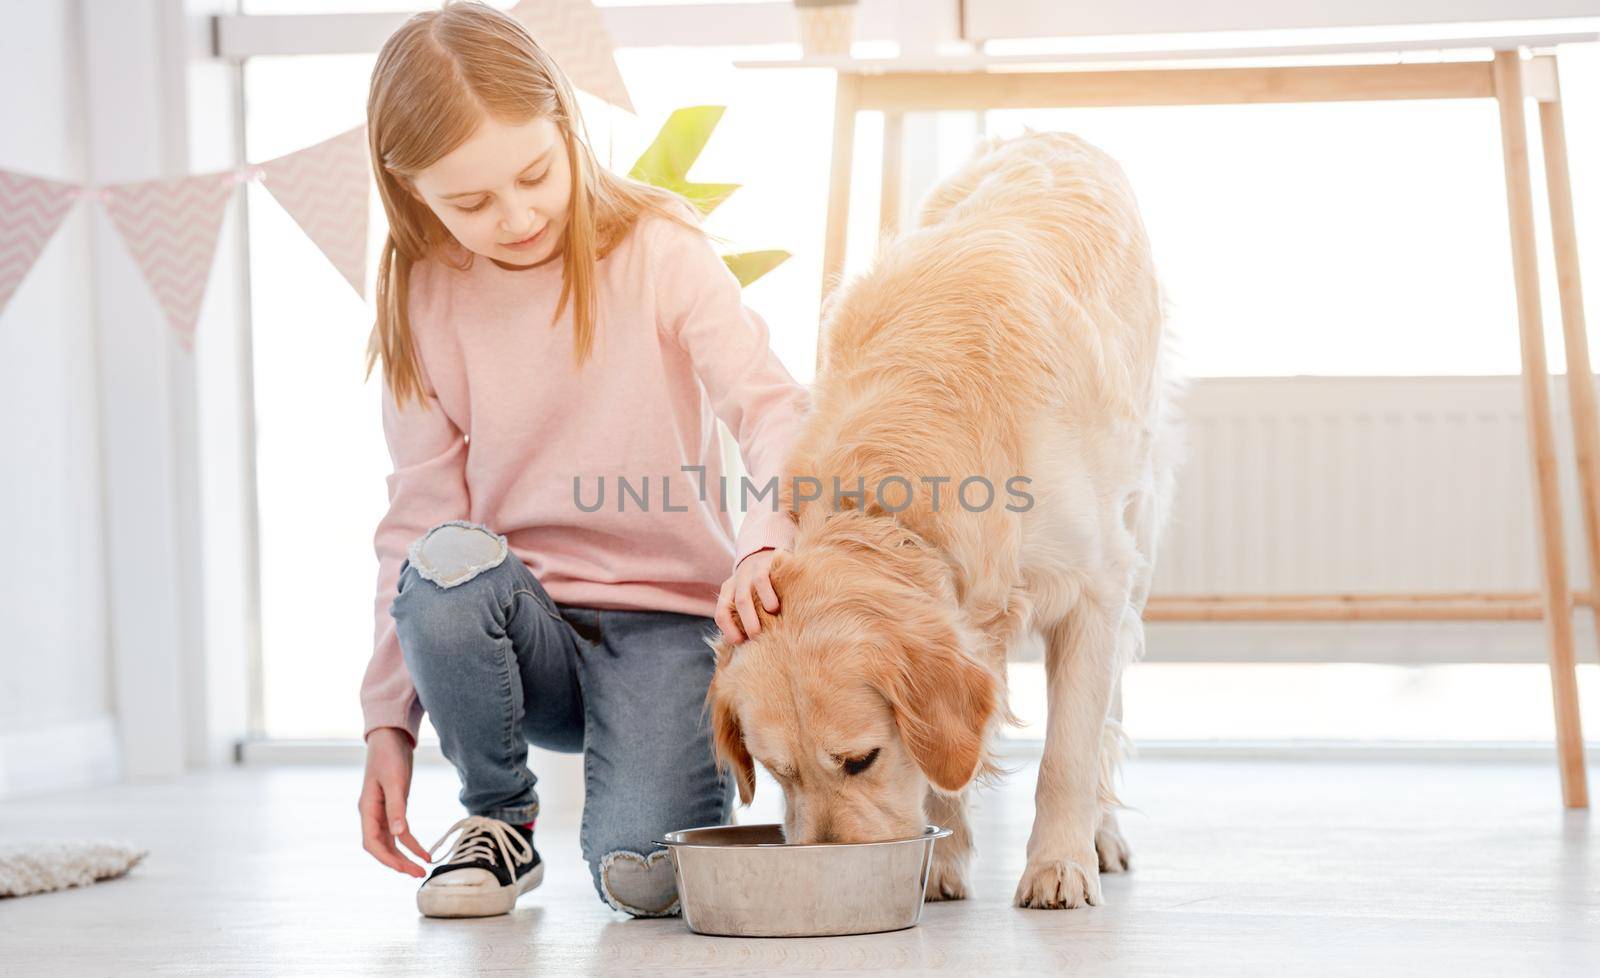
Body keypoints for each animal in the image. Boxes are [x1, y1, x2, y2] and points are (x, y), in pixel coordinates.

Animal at [707, 130, 1184, 909]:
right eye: (779, 772)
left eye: (861, 758)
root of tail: (1053, 133)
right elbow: (946, 756)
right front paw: (943, 859)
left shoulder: (1094, 588)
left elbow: (1070, 751)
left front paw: (1059, 864)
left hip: (1137, 521)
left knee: (1110, 707)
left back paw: (1103, 837)